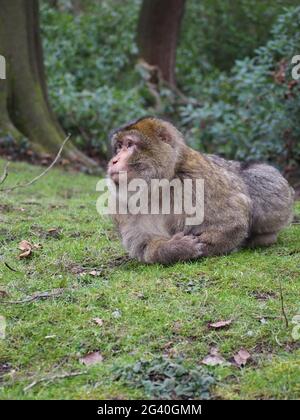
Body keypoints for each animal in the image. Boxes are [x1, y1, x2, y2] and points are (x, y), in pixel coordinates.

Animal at [106, 116, 294, 264]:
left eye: (130, 144)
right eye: (119, 146)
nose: (114, 160)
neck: (158, 185)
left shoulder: (197, 180)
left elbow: (233, 221)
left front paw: (206, 246)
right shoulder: (120, 203)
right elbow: (142, 243)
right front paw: (175, 249)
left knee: (260, 176)